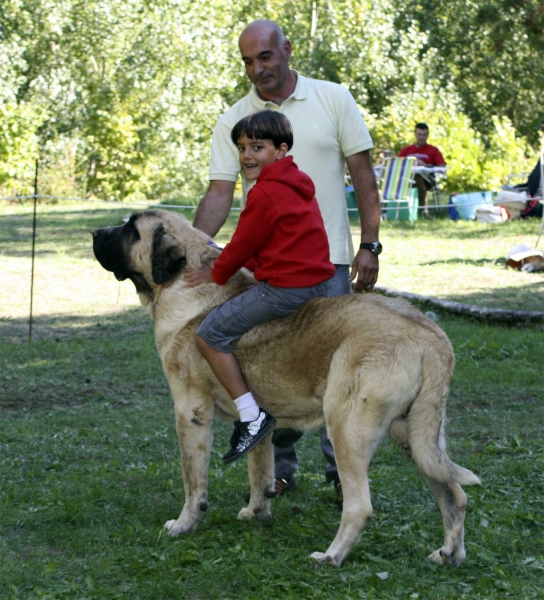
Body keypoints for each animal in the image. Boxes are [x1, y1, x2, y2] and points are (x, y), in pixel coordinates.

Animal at [93, 210, 480, 568]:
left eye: (130, 230)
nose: (96, 232)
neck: (182, 283)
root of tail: (429, 334)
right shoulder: (261, 423)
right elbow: (259, 469)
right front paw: (257, 512)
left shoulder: (191, 413)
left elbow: (193, 480)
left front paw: (184, 524)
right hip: (415, 434)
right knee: (453, 494)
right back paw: (449, 554)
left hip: (348, 428)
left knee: (360, 506)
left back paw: (330, 556)